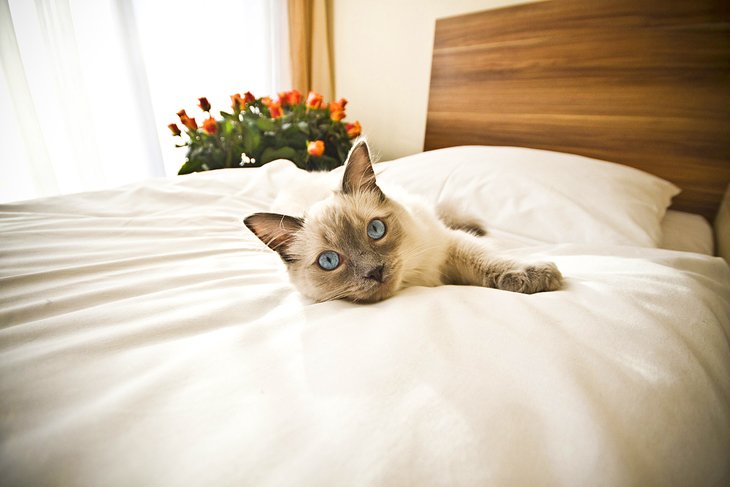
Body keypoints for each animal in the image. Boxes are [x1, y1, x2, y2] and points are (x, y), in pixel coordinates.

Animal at [245, 139, 564, 304]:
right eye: (329, 261)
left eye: (375, 230)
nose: (374, 271)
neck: (417, 279)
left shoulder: (446, 245)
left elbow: (486, 260)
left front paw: (538, 275)